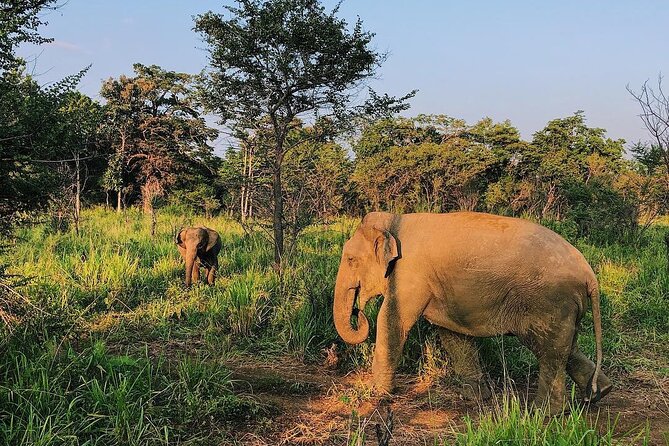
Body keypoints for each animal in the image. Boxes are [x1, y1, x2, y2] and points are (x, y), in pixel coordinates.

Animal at [334, 211, 612, 412]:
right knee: (566, 348)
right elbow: (452, 334)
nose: (358, 312)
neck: (394, 219)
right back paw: (599, 394)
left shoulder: (409, 274)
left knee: (548, 350)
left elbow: (392, 320)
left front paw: (378, 394)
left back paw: (542, 412)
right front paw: (475, 398)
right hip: (564, 306)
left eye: (350, 260)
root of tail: (590, 275)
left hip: (548, 301)